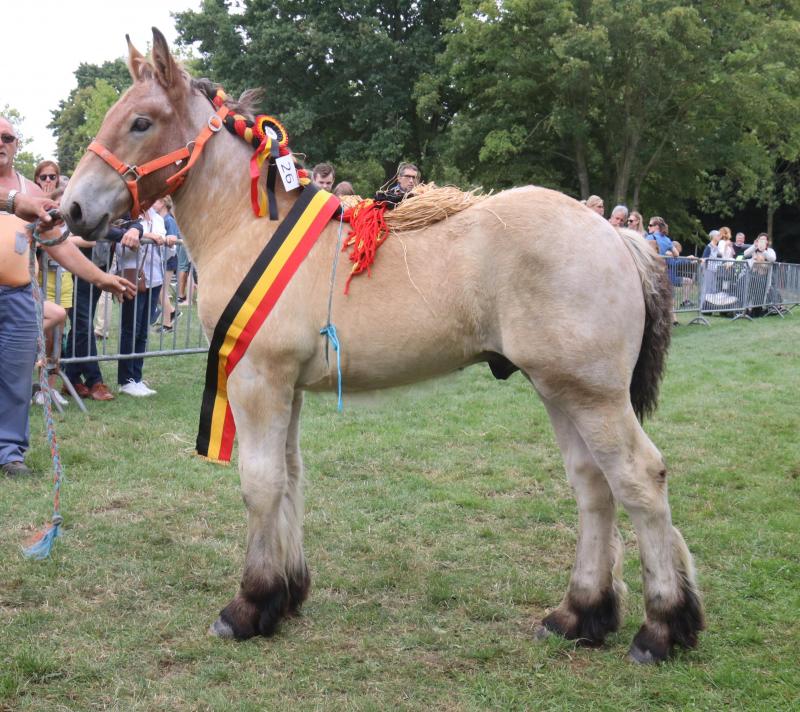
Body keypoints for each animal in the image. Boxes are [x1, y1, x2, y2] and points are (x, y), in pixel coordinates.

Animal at [61, 27, 700, 660]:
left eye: (140, 122)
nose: (70, 209)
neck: (249, 227)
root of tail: (618, 236)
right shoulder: (285, 386)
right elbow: (290, 476)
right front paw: (284, 596)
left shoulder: (256, 379)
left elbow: (261, 483)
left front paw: (248, 605)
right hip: (558, 389)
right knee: (593, 486)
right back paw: (580, 615)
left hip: (591, 394)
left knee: (639, 479)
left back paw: (662, 627)